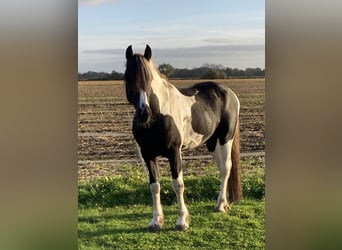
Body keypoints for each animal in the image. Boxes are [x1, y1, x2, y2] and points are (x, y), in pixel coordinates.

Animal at [124, 45, 242, 232]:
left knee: (226, 169)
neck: (157, 118)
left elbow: (177, 184)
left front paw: (182, 221)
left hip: (225, 139)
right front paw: (156, 221)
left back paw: (220, 205)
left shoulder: (174, 153)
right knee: (221, 168)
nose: (144, 113)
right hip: (212, 143)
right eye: (128, 78)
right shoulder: (147, 155)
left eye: (149, 79)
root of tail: (228, 93)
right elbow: (154, 186)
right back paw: (225, 203)